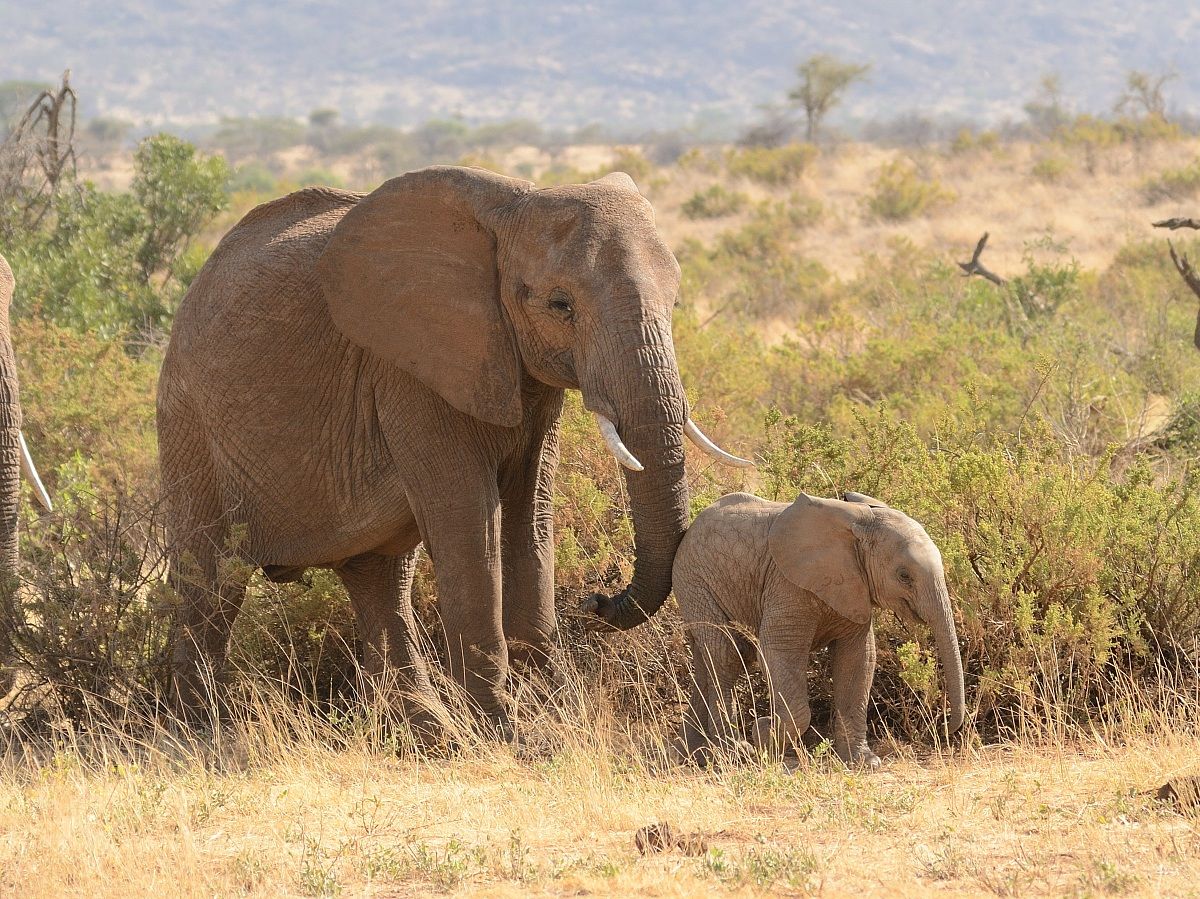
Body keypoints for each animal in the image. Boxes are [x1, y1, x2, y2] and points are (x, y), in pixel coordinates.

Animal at [156, 165, 750, 737]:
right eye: (560, 305)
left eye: (675, 302)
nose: (596, 602)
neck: (512, 211)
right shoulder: (411, 369)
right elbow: (469, 524)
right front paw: (508, 734)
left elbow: (528, 518)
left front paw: (557, 719)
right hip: (189, 421)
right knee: (209, 580)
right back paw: (200, 733)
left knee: (381, 581)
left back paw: (431, 736)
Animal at [672, 491, 965, 767]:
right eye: (904, 576)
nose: (945, 726)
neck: (857, 526)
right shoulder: (787, 584)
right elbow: (779, 648)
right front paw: (764, 735)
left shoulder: (855, 587)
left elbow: (858, 659)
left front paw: (864, 763)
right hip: (694, 582)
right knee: (727, 654)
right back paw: (734, 752)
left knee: (709, 656)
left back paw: (695, 753)